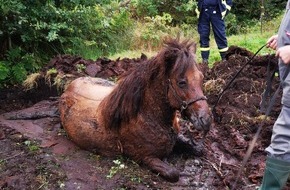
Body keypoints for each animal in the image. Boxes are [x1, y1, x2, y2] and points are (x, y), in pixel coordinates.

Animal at [59, 37, 213, 182]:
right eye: (181, 82)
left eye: (201, 78)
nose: (206, 120)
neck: (146, 116)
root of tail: (70, 85)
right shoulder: (145, 157)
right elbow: (173, 173)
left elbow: (198, 149)